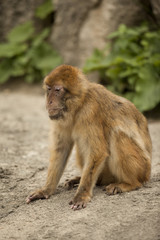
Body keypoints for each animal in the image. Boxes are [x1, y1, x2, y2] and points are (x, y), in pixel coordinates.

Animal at [26, 64, 151, 210]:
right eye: (49, 89)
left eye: (57, 90)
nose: (49, 101)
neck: (79, 104)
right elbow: (61, 150)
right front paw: (46, 190)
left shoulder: (90, 111)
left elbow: (97, 151)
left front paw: (82, 195)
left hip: (143, 168)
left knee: (117, 135)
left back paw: (130, 183)